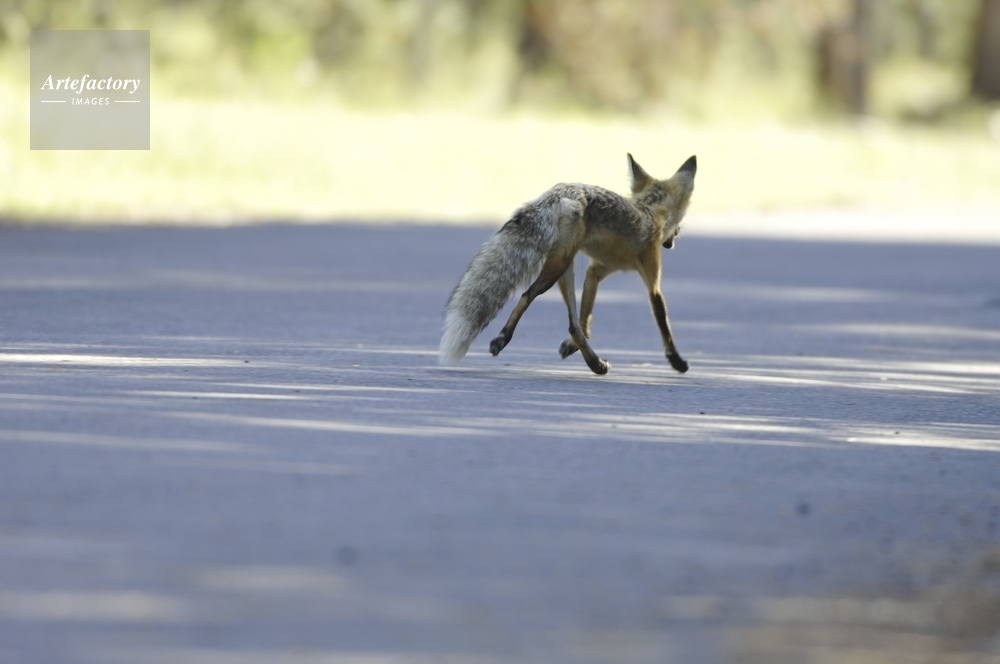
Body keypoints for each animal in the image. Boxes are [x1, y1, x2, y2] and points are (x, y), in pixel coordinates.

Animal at [439, 153, 696, 375]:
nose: (675, 238)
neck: (652, 212)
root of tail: (556, 193)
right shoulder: (652, 282)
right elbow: (664, 324)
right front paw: (676, 361)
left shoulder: (595, 271)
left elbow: (585, 320)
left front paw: (570, 347)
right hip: (558, 267)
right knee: (526, 295)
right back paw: (502, 339)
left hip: (566, 266)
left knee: (573, 325)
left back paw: (595, 364)